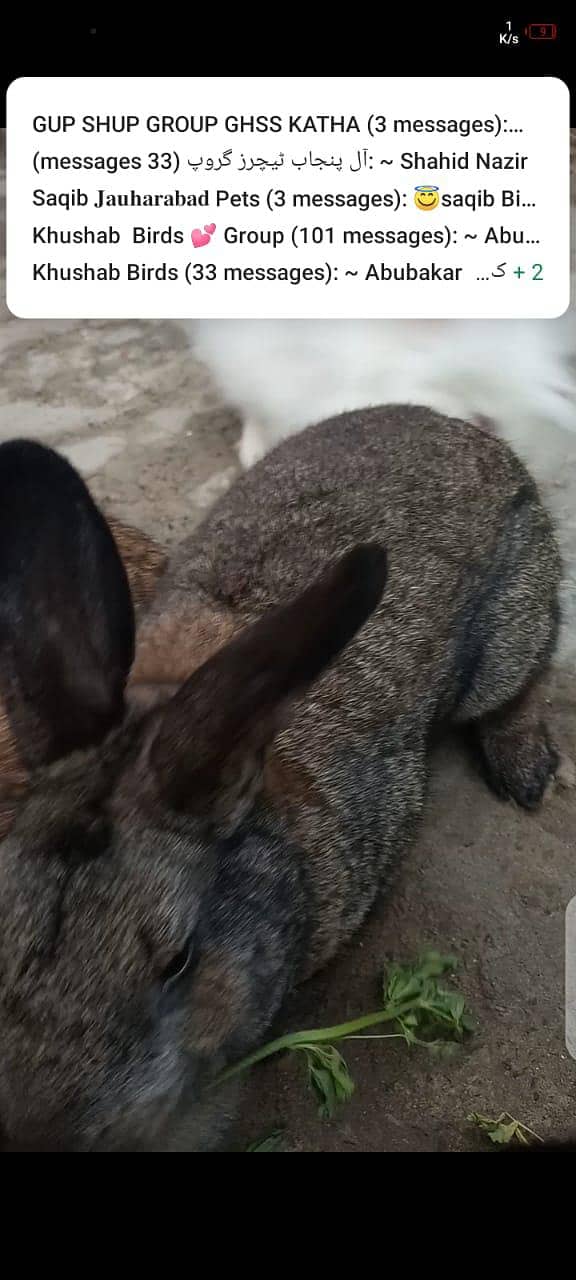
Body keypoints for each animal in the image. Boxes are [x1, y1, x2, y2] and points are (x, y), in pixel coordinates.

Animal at [0, 406, 562, 1152]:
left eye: (178, 961)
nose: (36, 1133)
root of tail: (469, 433)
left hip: (508, 635)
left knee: (528, 678)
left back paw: (527, 770)